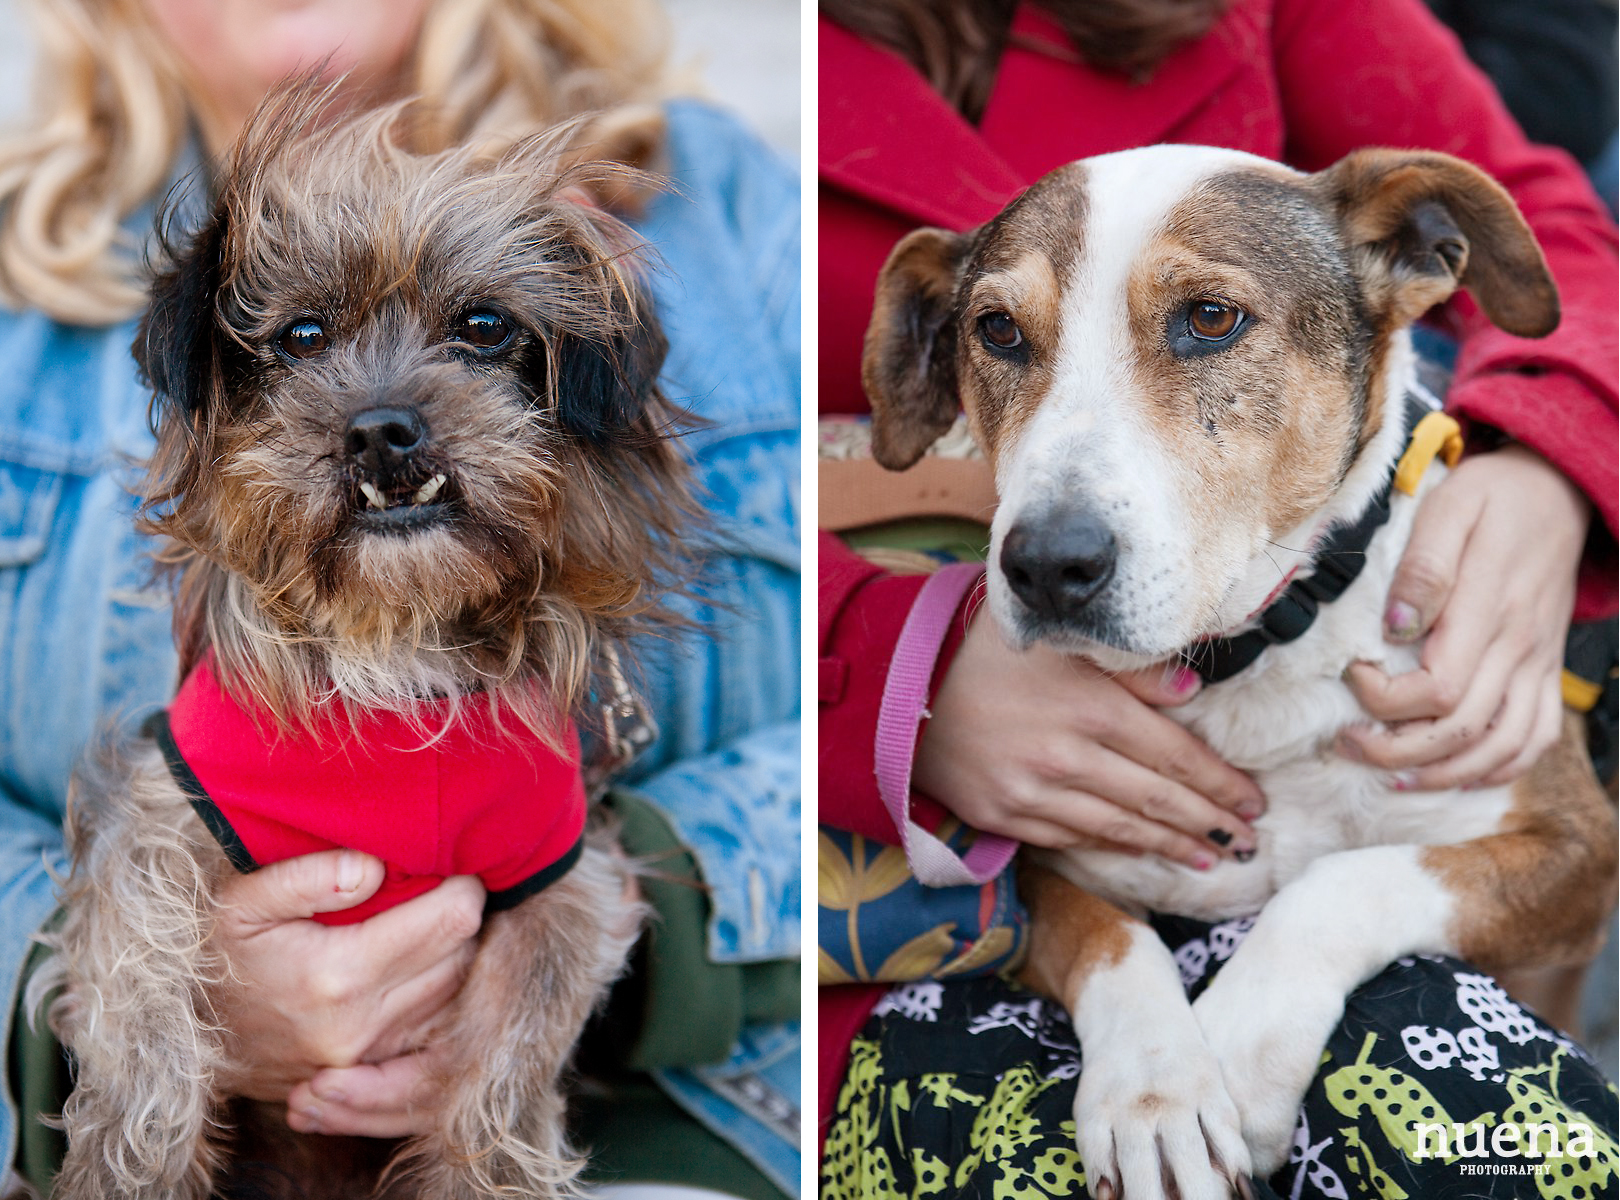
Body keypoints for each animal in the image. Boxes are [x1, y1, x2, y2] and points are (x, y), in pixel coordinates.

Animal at [41, 86, 693, 1198]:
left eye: (484, 327)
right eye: (302, 335)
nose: (383, 429)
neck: (393, 642)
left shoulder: (562, 886)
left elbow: (503, 1084)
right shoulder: (156, 818)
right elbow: (142, 1014)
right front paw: (131, 1169)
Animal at [868, 147, 1613, 1198]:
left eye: (1212, 318)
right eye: (998, 331)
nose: (1046, 565)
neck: (1255, 657)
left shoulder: (1576, 848)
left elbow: (1343, 879)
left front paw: (1238, 1049)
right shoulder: (1028, 871)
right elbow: (1111, 941)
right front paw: (1158, 1092)